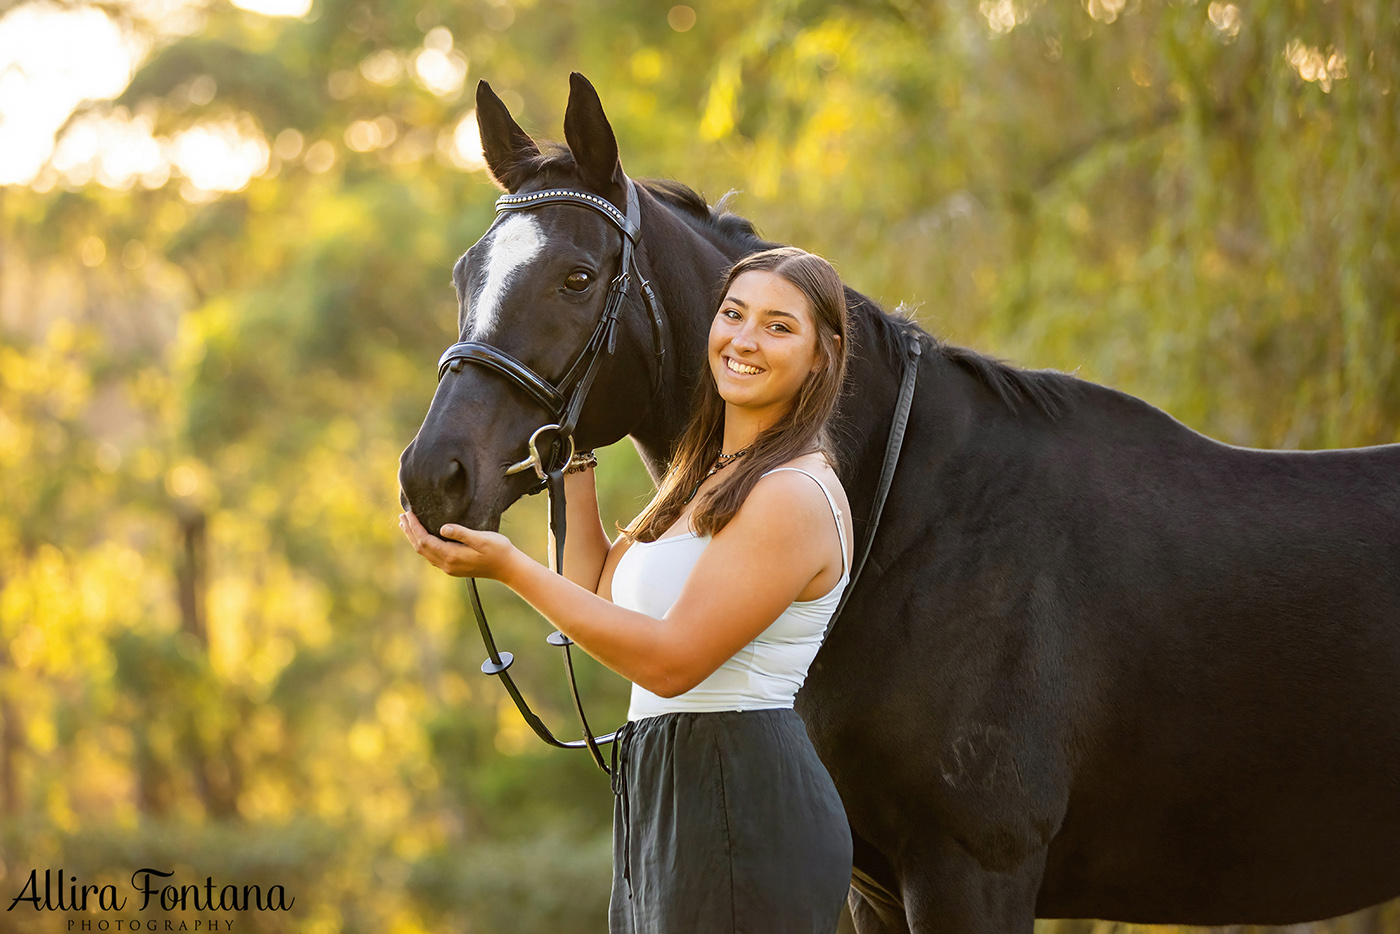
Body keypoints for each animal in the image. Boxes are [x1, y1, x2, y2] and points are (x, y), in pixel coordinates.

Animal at [397, 74, 1400, 934]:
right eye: (462, 275)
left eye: (575, 276)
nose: (432, 477)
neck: (919, 524)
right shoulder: (875, 884)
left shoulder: (976, 867)